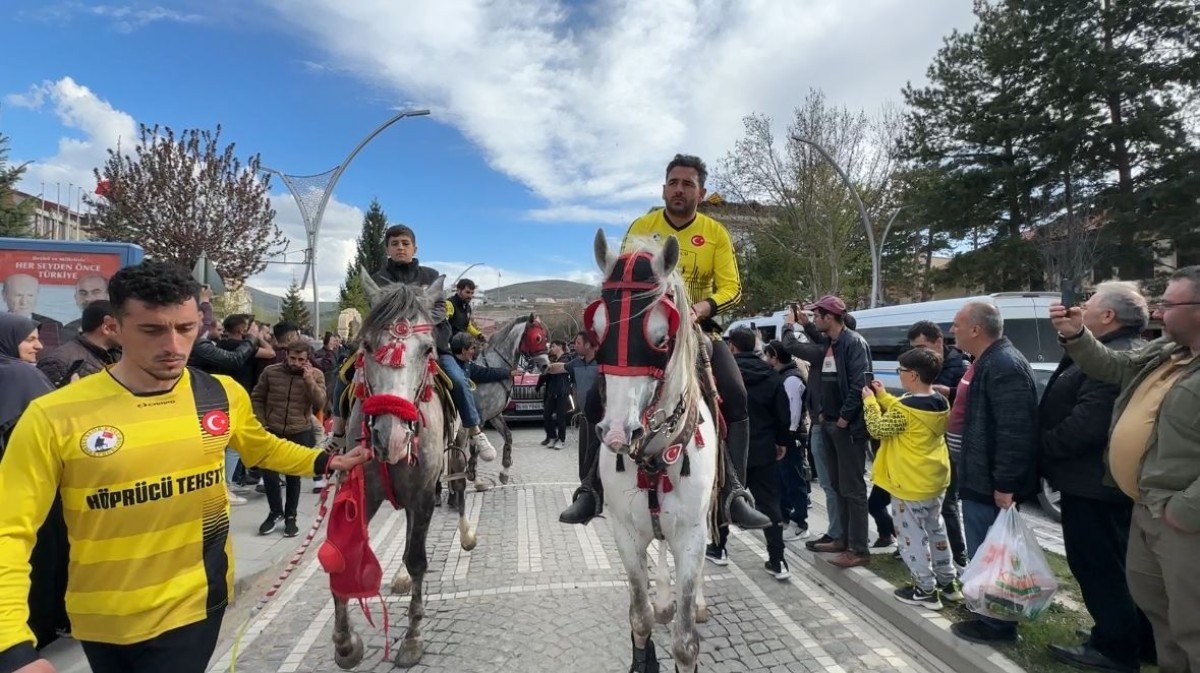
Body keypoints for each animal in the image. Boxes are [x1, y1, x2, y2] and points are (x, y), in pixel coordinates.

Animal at [588, 229, 715, 671]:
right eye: (598, 333)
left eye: (661, 338)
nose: (616, 433)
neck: (656, 456)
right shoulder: (625, 533)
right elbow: (639, 616)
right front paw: (643, 652)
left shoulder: (692, 534)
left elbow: (686, 642)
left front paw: (687, 614)